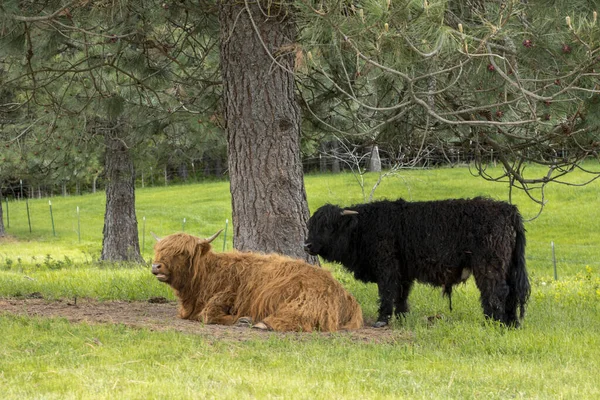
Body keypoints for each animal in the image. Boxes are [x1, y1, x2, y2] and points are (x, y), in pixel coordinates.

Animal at [152, 230, 364, 332]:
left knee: (296, 319)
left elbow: (208, 315)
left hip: (300, 299)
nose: (156, 266)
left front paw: (240, 319)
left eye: (181, 253)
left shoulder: (225, 296)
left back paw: (261, 324)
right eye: (160, 249)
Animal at [304, 198, 528, 328]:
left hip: (489, 265)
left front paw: (382, 319)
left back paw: (494, 322)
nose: (307, 245)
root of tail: (508, 209)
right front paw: (402, 317)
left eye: (328, 226)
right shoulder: (403, 271)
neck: (364, 227)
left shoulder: (387, 267)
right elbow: (402, 295)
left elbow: (387, 292)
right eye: (311, 224)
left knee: (496, 291)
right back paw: (512, 323)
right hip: (509, 266)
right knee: (513, 292)